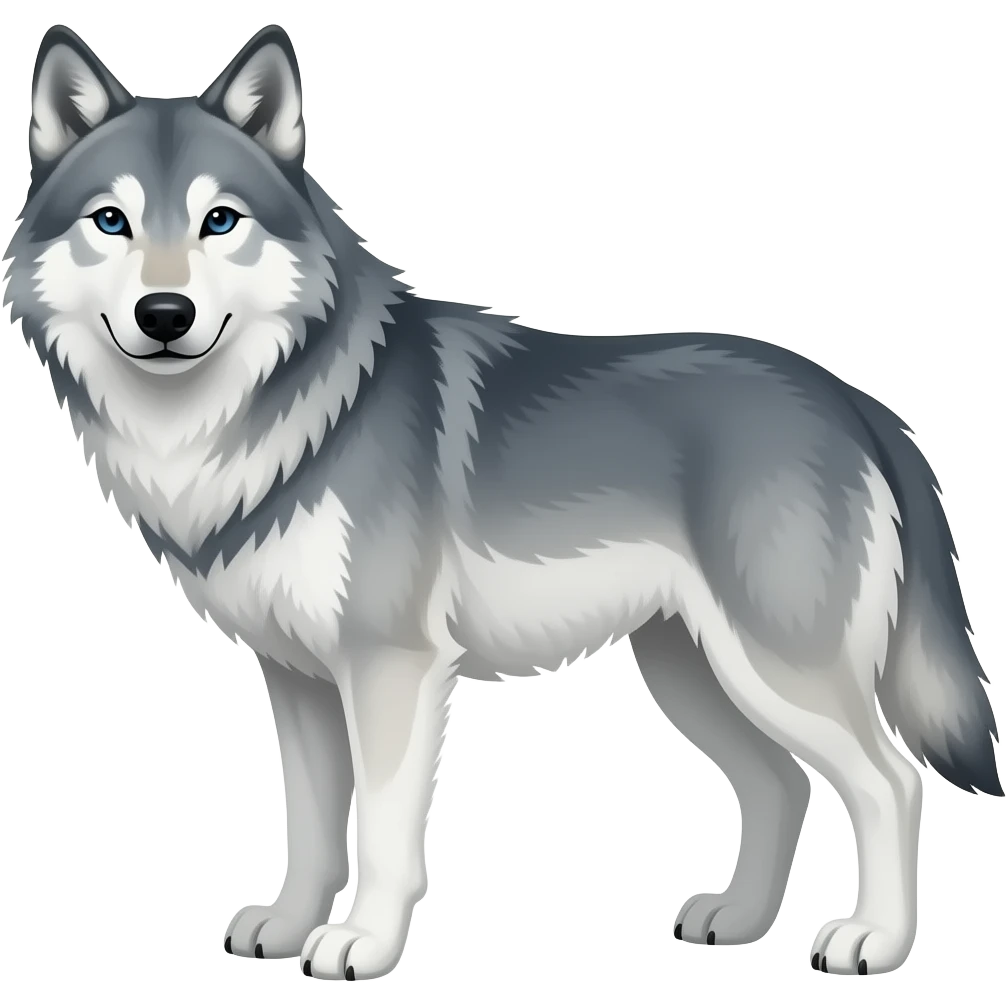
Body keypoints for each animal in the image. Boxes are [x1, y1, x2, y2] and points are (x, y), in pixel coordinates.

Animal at [4, 21, 1001, 982]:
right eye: (111, 221)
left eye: (220, 220)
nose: (164, 315)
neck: (267, 419)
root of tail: (855, 400)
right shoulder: (296, 680)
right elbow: (312, 827)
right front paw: (288, 928)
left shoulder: (392, 669)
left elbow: (382, 831)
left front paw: (362, 946)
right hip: (692, 670)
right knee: (781, 785)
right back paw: (739, 922)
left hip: (773, 668)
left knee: (890, 782)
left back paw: (873, 941)